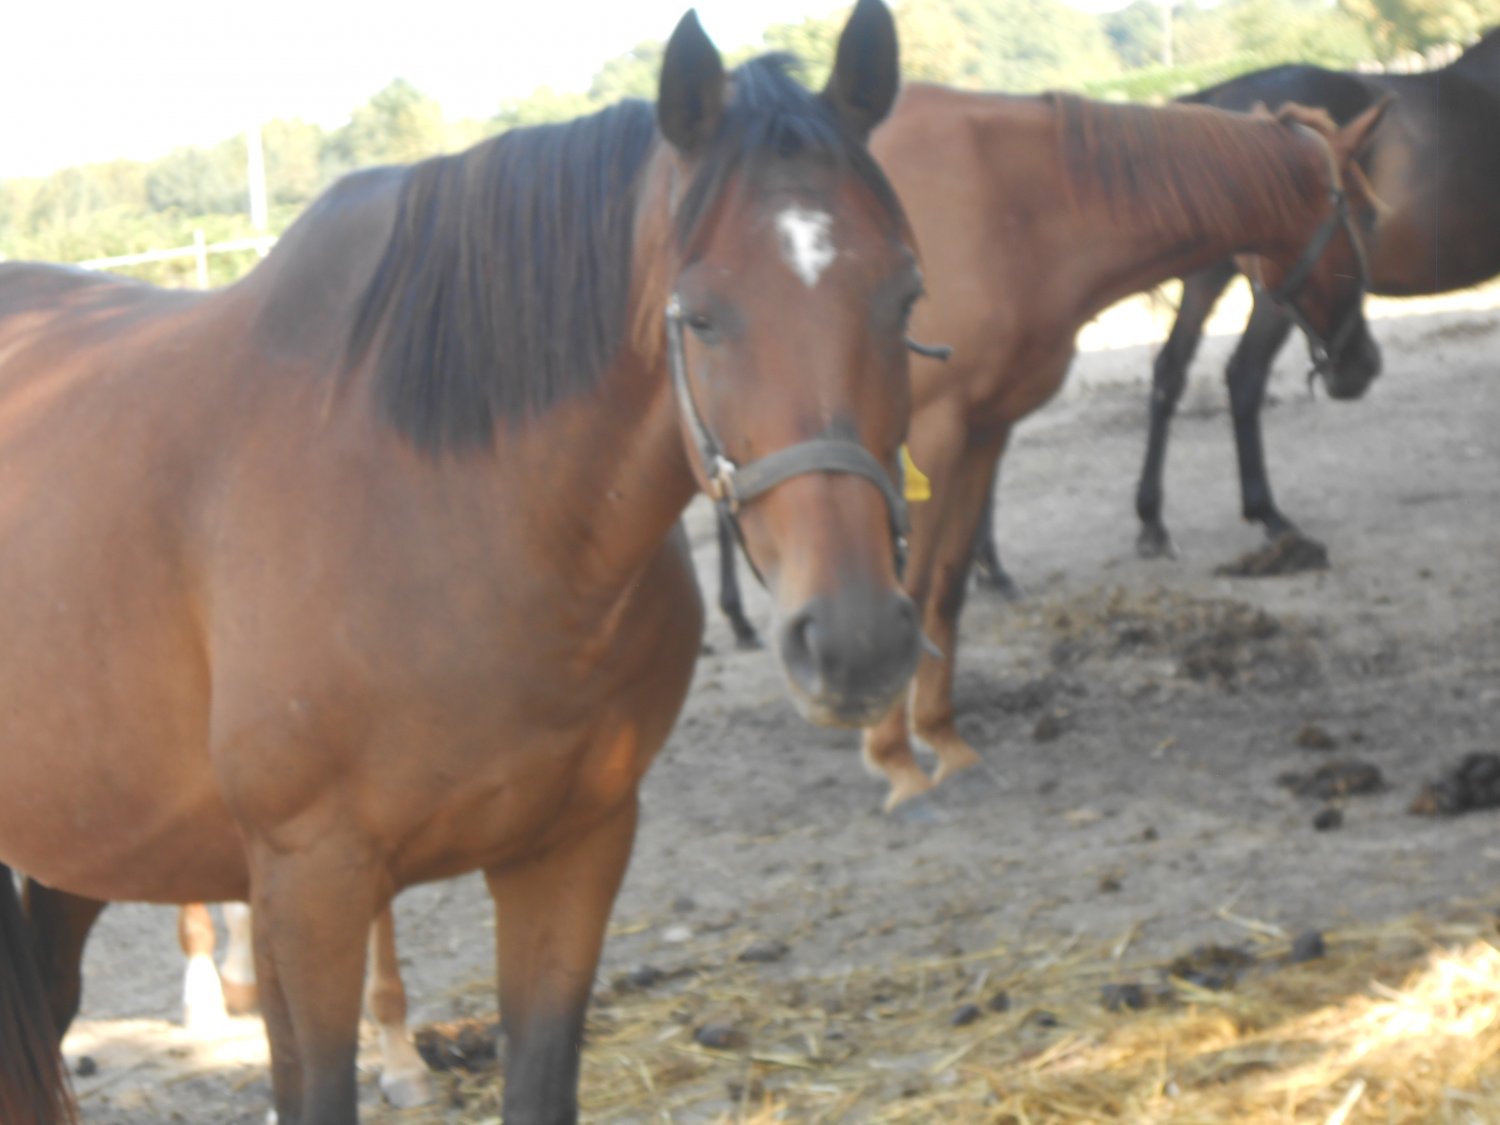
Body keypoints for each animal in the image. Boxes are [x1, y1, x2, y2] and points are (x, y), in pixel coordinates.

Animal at [0, 3, 924, 1122]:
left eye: (907, 296)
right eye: (701, 314)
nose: (856, 640)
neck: (457, 514)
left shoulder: (570, 854)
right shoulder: (311, 884)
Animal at [717, 87, 1387, 806]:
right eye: (1367, 216)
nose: (1362, 364)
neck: (1008, 203)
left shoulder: (982, 432)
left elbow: (947, 589)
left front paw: (944, 737)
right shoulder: (931, 433)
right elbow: (913, 585)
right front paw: (894, 753)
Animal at [1128, 29, 1500, 559]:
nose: (1361, 368)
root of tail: (1215, 98)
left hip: (1210, 273)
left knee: (1169, 372)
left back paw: (1153, 521)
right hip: (1275, 287)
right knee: (1244, 375)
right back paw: (1268, 514)